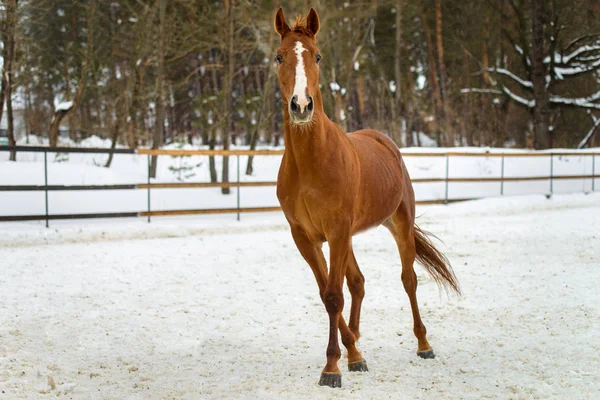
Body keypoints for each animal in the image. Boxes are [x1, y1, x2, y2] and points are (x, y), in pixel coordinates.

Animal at [274, 6, 462, 388]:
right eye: (279, 56)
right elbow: (328, 294)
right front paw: (352, 355)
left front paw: (332, 367)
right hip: (348, 237)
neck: (311, 163)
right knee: (358, 283)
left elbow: (334, 296)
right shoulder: (306, 237)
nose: (301, 105)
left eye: (317, 55)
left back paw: (423, 345)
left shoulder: (336, 231)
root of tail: (384, 140)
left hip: (398, 223)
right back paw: (356, 343)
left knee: (408, 280)